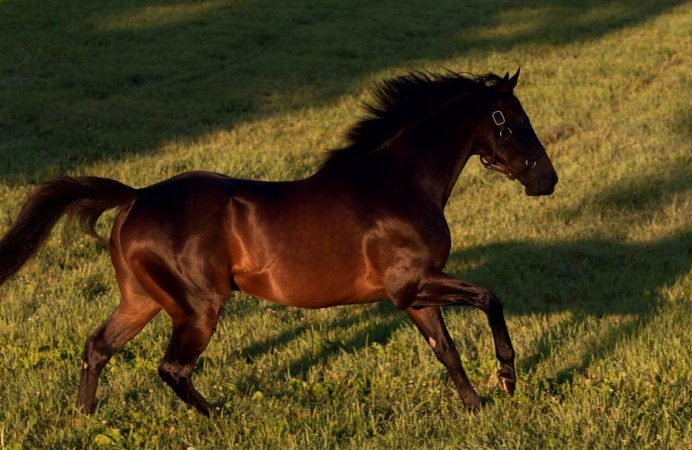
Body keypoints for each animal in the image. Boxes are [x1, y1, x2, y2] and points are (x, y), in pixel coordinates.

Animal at [0, 68, 557, 415]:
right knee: (172, 367)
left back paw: (83, 415)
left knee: (98, 346)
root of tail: (135, 197)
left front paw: (476, 406)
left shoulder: (413, 295)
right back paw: (217, 416)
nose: (547, 179)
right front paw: (507, 376)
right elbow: (490, 299)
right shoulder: (415, 285)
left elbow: (447, 350)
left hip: (142, 301)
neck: (400, 182)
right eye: (516, 122)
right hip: (198, 307)